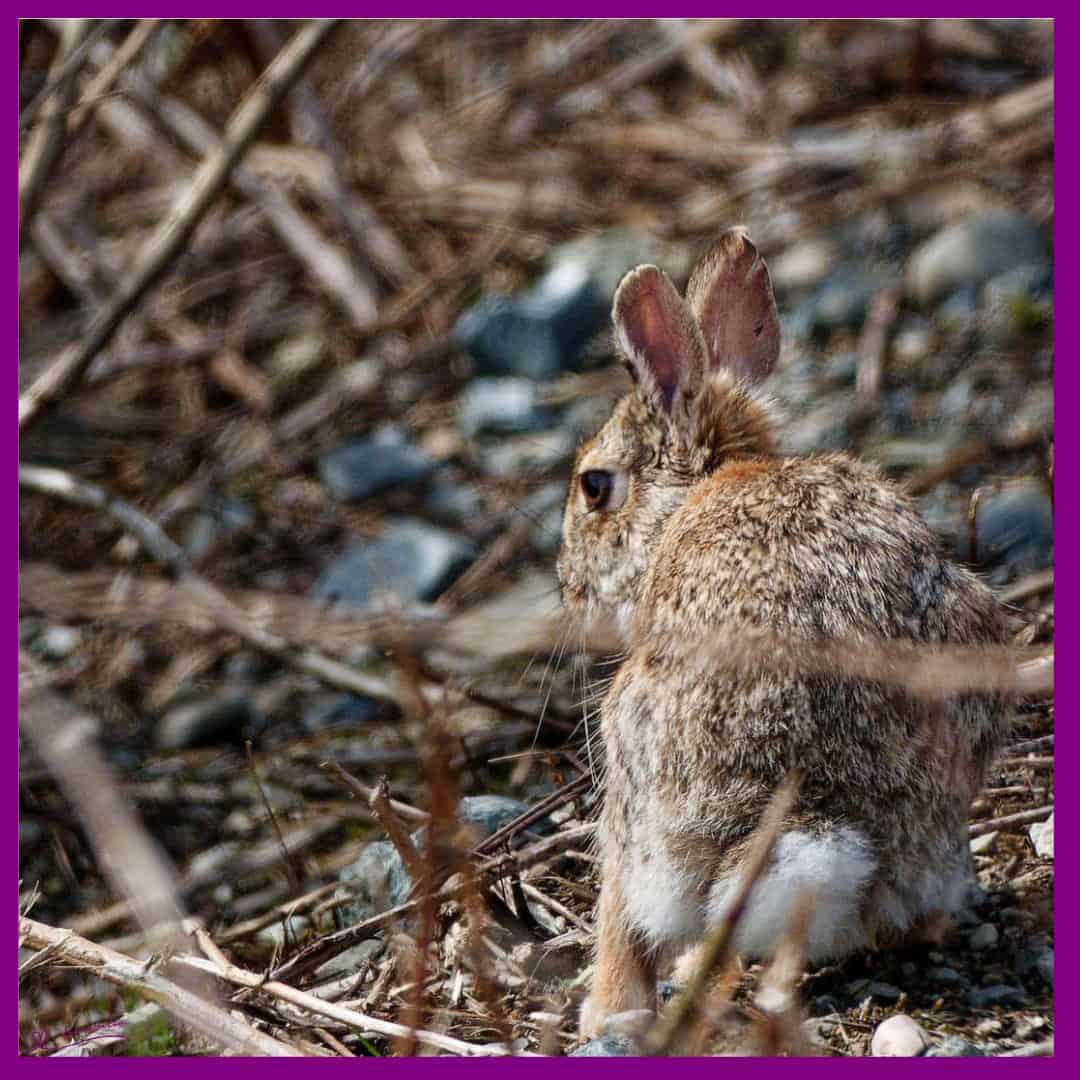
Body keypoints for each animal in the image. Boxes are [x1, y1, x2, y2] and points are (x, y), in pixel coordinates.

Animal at [555, 227, 1010, 1039]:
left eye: (594, 487)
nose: (567, 581)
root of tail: (824, 819)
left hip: (634, 763)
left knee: (637, 915)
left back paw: (618, 1007)